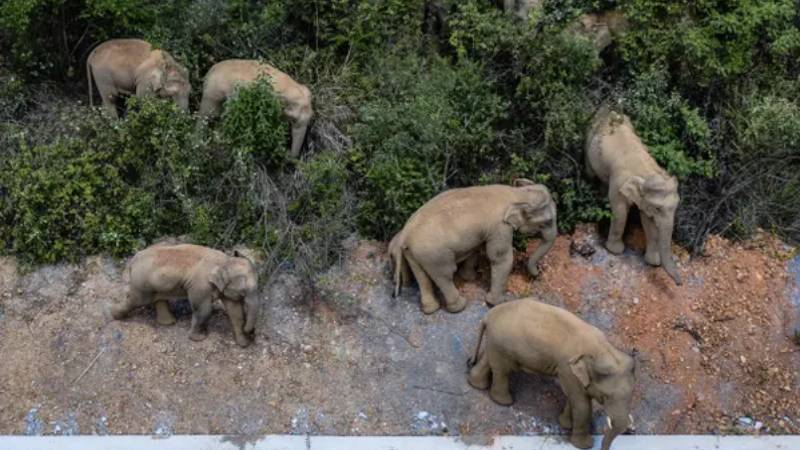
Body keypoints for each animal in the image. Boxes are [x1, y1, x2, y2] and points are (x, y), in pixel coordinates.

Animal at [108, 244, 260, 346]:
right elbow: (204, 310)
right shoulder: (200, 285)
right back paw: (114, 315)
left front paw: (243, 344)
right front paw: (199, 338)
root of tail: (132, 260)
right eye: (243, 291)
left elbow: (235, 312)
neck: (224, 260)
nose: (252, 333)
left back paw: (168, 323)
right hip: (142, 283)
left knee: (159, 299)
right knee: (135, 300)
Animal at [390, 178, 556, 312]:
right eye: (547, 222)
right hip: (434, 254)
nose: (537, 274)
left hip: (414, 253)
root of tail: (405, 234)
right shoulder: (500, 227)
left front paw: (469, 278)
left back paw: (430, 309)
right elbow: (500, 258)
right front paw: (496, 303)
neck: (517, 194)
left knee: (422, 276)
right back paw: (459, 306)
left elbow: (475, 248)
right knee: (445, 274)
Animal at [466, 298, 636, 450]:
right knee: (502, 370)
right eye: (606, 397)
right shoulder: (567, 368)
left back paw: (477, 385)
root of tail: (489, 315)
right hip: (503, 343)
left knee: (489, 360)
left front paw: (565, 424)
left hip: (496, 342)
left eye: (630, 396)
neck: (602, 349)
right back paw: (504, 402)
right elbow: (582, 405)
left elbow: (572, 398)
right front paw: (584, 445)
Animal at [584, 105, 684, 284]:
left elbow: (647, 220)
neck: (647, 171)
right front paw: (615, 251)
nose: (679, 284)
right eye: (657, 208)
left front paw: (653, 262)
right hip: (588, 140)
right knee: (590, 172)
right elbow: (620, 211)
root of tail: (607, 109)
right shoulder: (619, 182)